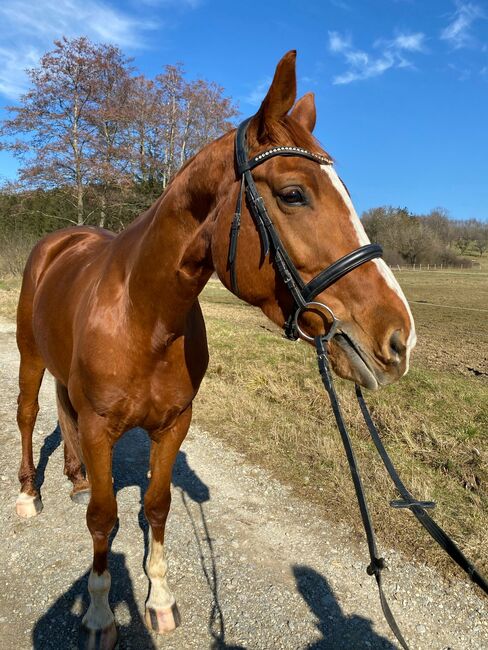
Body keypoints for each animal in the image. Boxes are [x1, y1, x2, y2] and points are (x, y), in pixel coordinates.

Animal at [15, 52, 414, 648]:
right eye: (293, 194)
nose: (399, 338)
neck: (144, 315)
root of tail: (58, 242)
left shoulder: (174, 423)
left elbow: (156, 507)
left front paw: (159, 601)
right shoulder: (100, 427)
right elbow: (104, 519)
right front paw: (102, 613)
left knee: (63, 413)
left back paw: (77, 478)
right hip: (30, 358)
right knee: (26, 415)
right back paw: (28, 494)